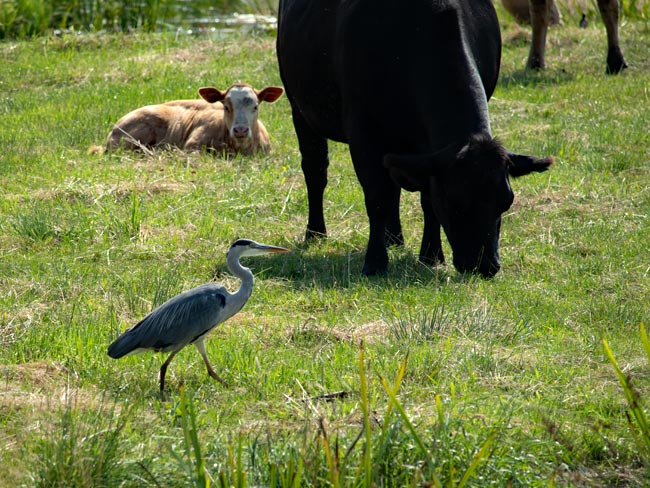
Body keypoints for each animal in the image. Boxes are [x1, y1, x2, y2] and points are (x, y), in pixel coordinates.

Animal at [274, 0, 552, 276]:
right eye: (455, 202)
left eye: (506, 201)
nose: (487, 266)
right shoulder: (363, 134)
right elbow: (377, 198)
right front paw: (375, 262)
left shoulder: (428, 151)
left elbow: (425, 199)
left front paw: (431, 255)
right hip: (299, 107)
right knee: (316, 171)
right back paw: (316, 232)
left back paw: (394, 237)